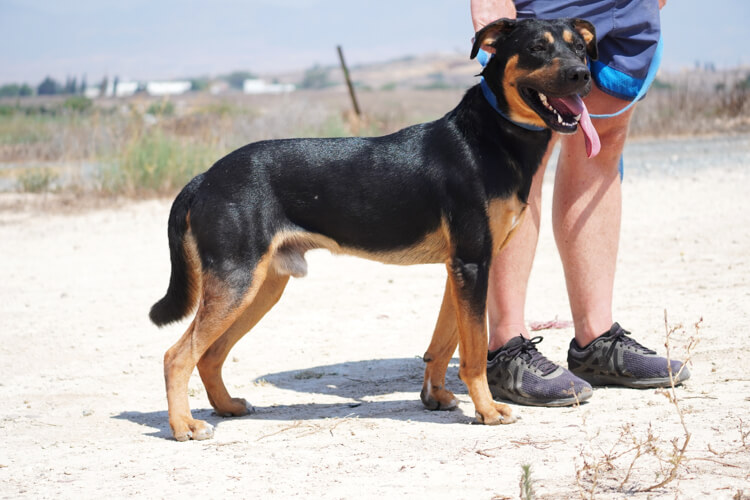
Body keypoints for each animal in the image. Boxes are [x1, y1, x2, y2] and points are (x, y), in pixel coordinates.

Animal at [151, 17, 600, 440]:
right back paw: (184, 425)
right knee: (177, 355)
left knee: (210, 354)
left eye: (579, 47)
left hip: (261, 286)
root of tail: (204, 178)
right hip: (237, 282)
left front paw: (435, 396)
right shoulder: (473, 264)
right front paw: (488, 410)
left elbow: (444, 342)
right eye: (536, 48)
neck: (488, 136)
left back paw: (227, 407)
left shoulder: (459, 267)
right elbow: (472, 352)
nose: (582, 74)